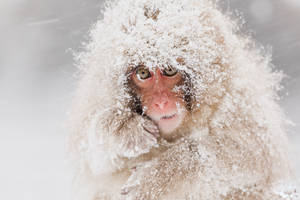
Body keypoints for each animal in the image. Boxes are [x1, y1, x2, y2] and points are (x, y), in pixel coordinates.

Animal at [67, 0, 298, 200]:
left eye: (170, 70)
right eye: (143, 73)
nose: (161, 102)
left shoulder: (239, 100)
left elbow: (251, 154)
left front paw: (158, 177)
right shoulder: (99, 96)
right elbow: (90, 158)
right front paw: (124, 129)